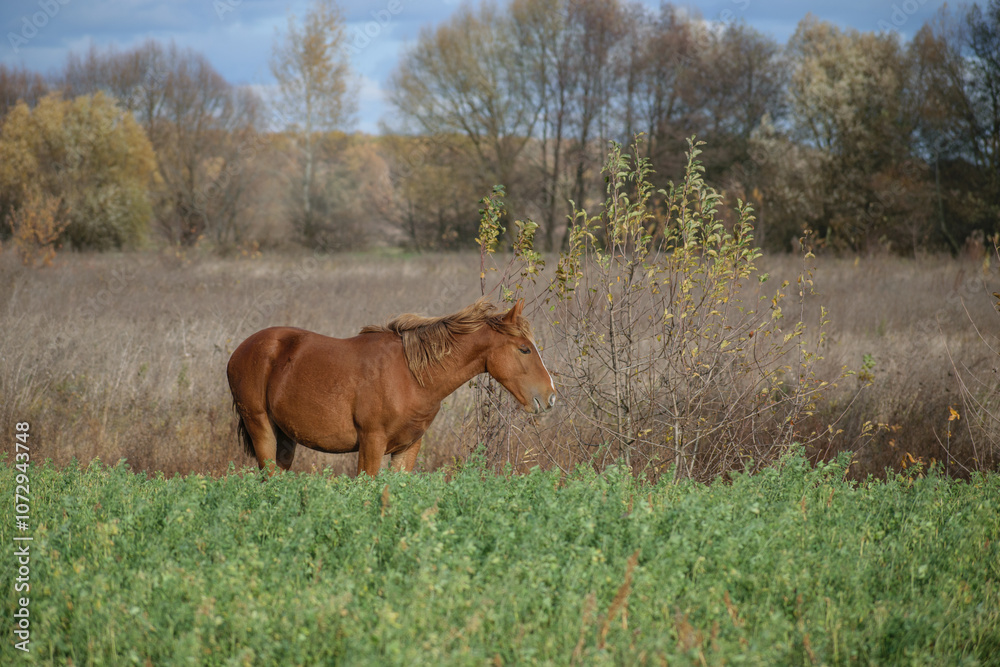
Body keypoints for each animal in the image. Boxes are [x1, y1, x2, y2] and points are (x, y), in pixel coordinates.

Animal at [227, 299, 556, 476]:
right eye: (524, 349)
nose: (550, 397)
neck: (411, 377)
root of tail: (241, 351)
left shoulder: (408, 447)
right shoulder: (372, 443)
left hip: (285, 439)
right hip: (261, 429)